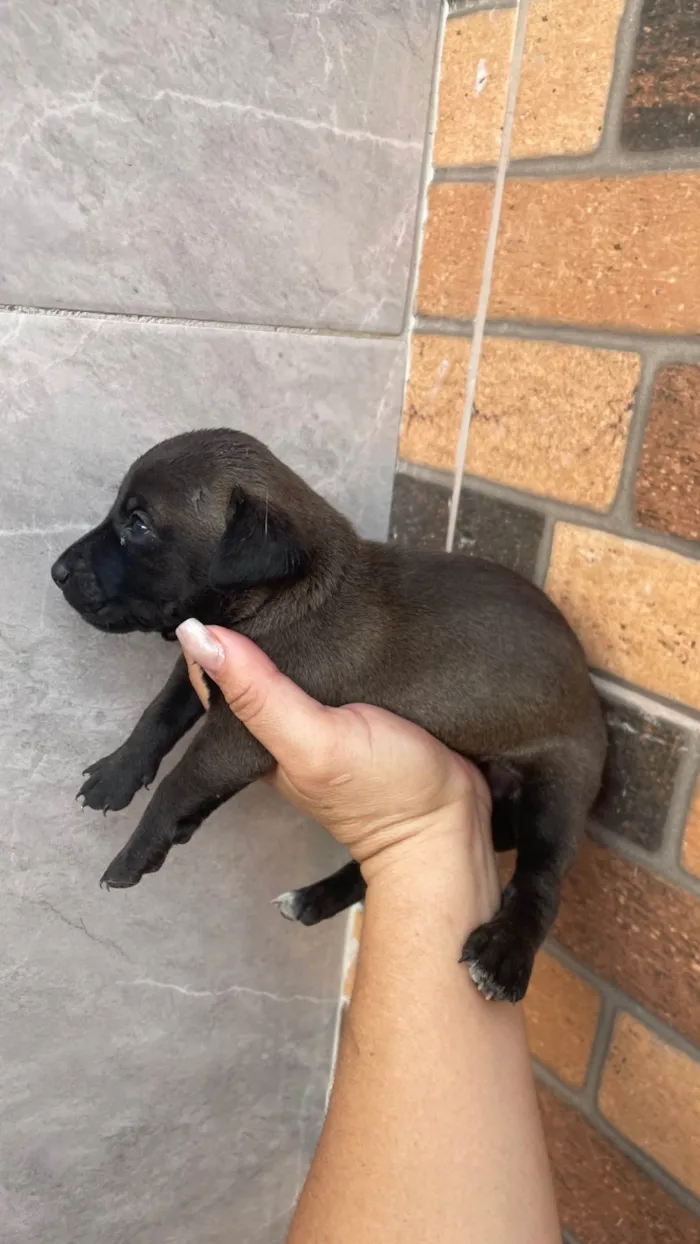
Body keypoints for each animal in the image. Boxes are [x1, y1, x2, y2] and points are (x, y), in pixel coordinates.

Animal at [51, 427, 604, 1000]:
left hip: (558, 793)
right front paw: (117, 775)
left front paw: (136, 850)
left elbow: (179, 783)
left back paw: (504, 957)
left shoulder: (239, 732)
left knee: (542, 883)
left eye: (137, 524)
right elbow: (156, 716)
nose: (57, 571)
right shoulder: (202, 665)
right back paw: (312, 900)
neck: (284, 593)